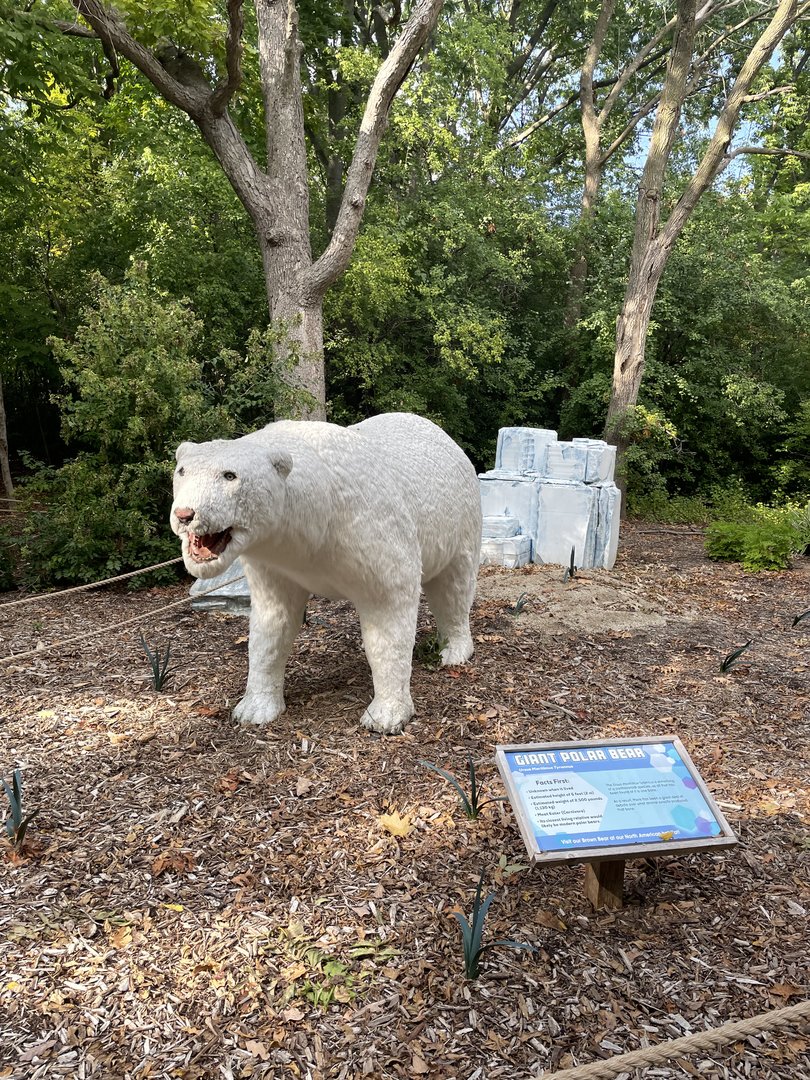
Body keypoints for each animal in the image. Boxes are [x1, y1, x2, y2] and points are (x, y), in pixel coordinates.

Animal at [170, 412, 482, 735]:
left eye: (229, 475)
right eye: (181, 471)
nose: (185, 514)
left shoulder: (371, 529)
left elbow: (388, 611)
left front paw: (385, 717)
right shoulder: (275, 560)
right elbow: (272, 622)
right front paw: (254, 709)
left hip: (459, 518)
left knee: (454, 587)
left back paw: (453, 652)